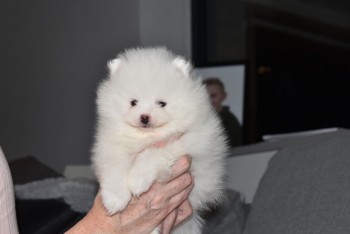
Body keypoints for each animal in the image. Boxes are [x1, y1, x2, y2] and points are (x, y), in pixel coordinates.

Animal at [91, 47, 227, 234]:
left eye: (162, 103)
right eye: (133, 102)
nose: (144, 117)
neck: (146, 136)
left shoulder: (188, 143)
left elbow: (153, 154)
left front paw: (137, 180)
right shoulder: (110, 146)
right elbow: (114, 169)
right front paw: (115, 199)